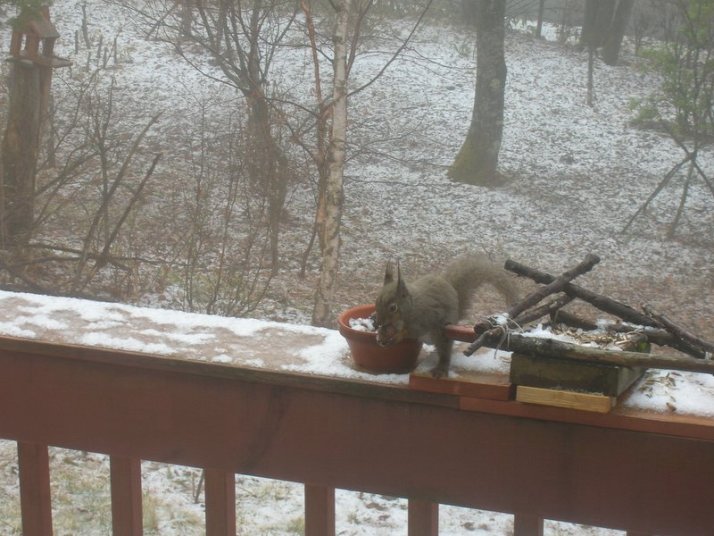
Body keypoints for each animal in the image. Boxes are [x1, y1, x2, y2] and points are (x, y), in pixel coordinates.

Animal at [374, 254, 518, 378]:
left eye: (393, 308)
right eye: (376, 301)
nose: (379, 322)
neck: (411, 307)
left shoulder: (425, 318)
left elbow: (412, 331)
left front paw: (397, 336)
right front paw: (382, 334)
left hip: (442, 333)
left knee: (444, 352)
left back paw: (441, 368)